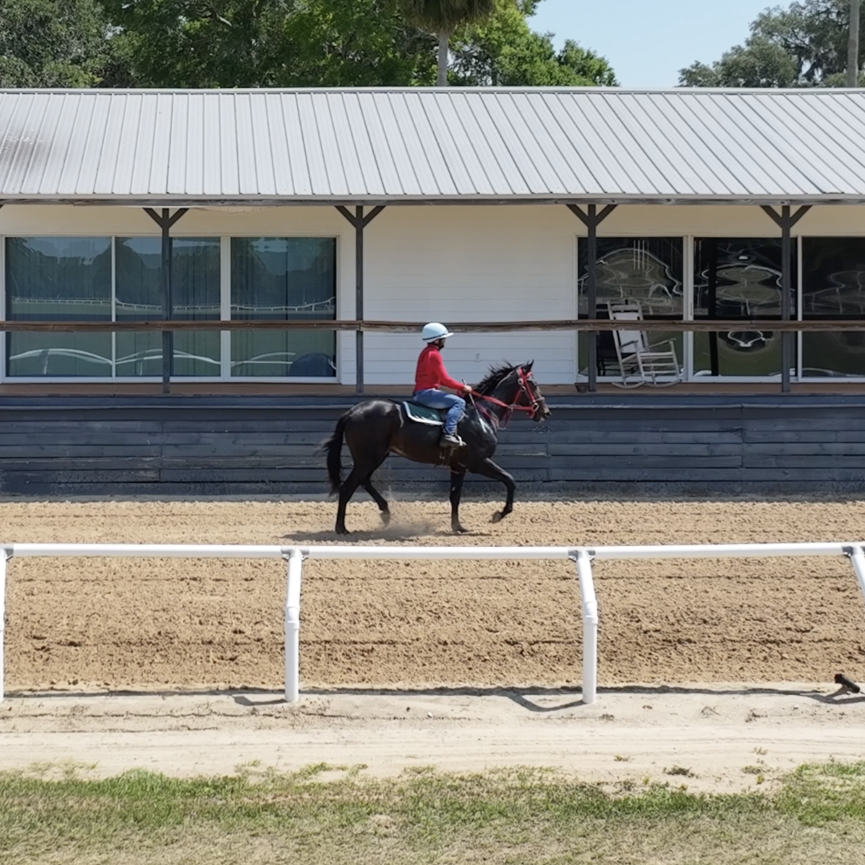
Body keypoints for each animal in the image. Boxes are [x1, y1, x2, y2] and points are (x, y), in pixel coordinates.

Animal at [322, 361, 551, 535]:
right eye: (532, 383)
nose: (546, 412)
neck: (482, 414)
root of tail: (352, 411)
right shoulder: (478, 462)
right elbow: (510, 480)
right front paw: (498, 515)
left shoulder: (458, 466)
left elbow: (455, 496)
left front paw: (458, 526)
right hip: (368, 458)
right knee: (347, 487)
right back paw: (341, 528)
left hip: (375, 457)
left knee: (364, 481)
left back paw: (385, 512)